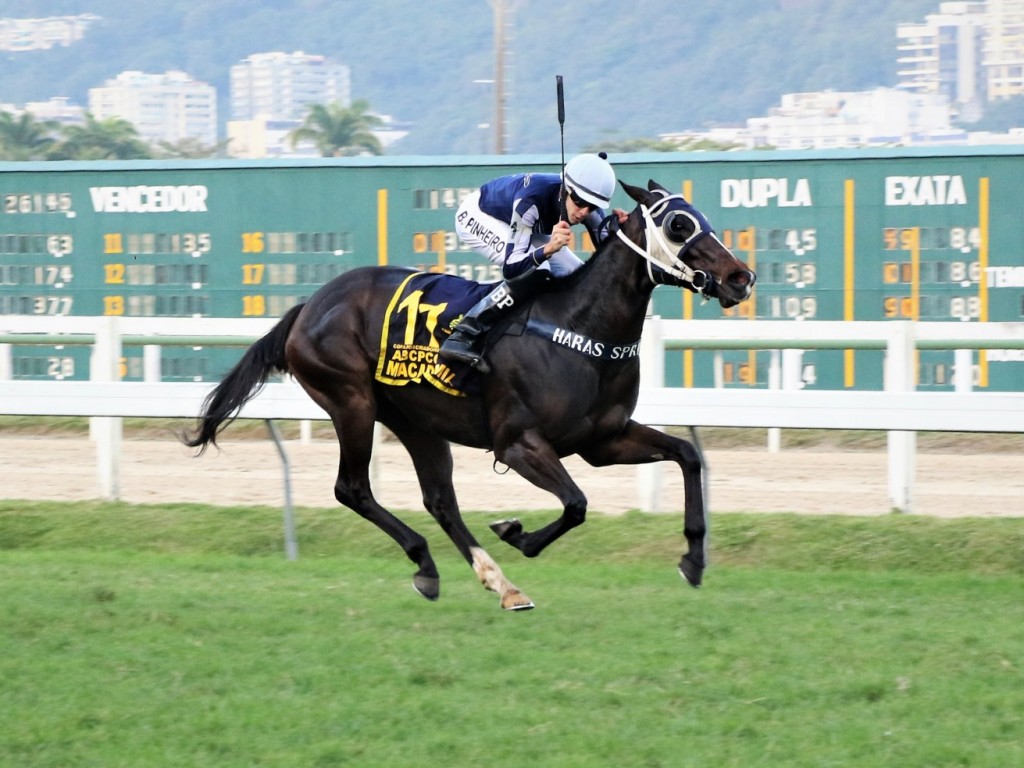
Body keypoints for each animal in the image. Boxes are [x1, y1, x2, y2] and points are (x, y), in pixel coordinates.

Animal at [184, 177, 757, 610]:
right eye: (678, 224)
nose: (741, 277)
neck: (581, 325)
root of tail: (309, 305)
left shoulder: (603, 440)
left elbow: (686, 455)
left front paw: (693, 559)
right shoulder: (520, 443)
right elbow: (576, 504)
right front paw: (516, 532)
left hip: (416, 419)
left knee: (440, 500)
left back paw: (493, 582)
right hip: (352, 402)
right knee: (353, 489)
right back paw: (435, 562)